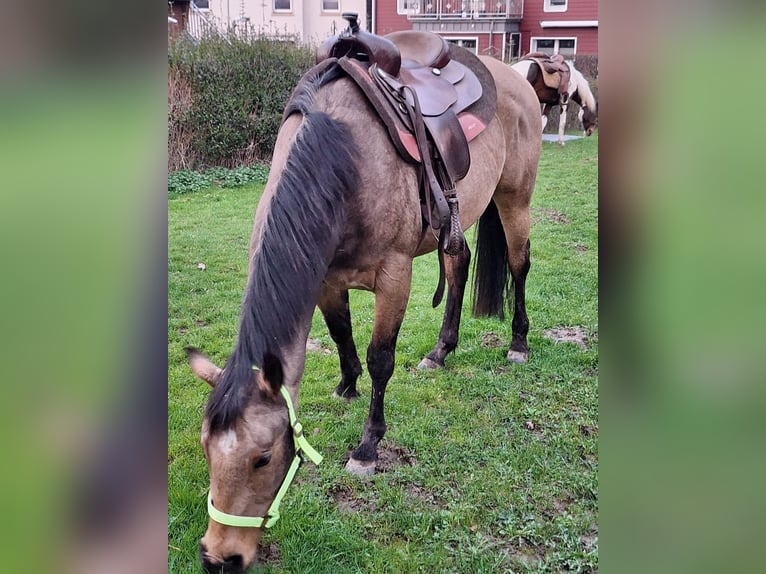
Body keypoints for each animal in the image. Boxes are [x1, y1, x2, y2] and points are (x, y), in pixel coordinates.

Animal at [186, 19, 544, 574]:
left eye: (262, 458)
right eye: (205, 450)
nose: (218, 557)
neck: (343, 157)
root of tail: (516, 77)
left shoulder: (394, 274)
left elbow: (380, 358)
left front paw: (368, 445)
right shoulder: (327, 279)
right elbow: (341, 336)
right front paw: (346, 386)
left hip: (515, 200)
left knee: (520, 266)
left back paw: (518, 343)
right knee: (458, 267)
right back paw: (441, 351)